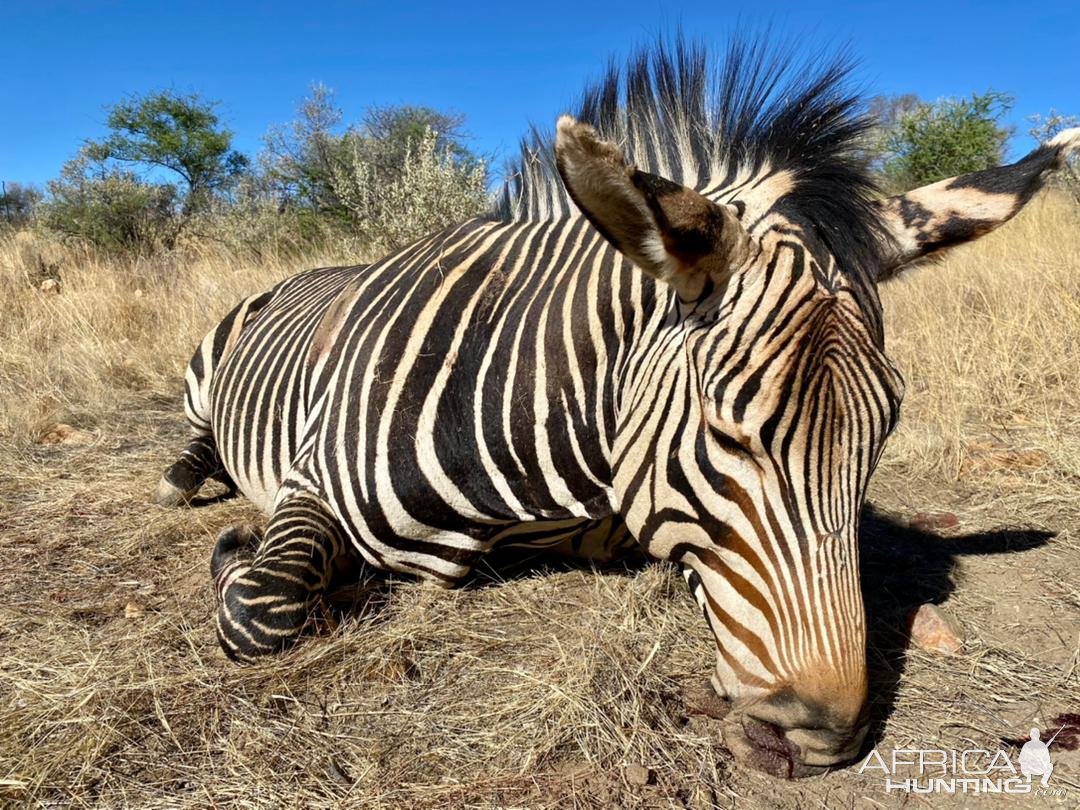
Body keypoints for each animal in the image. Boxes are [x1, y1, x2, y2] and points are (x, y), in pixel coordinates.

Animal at [154, 39, 1080, 781]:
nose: (821, 738)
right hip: (206, 369)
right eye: (725, 433)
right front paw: (243, 552)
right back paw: (183, 477)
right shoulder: (308, 480)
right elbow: (259, 606)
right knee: (195, 442)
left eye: (882, 434)